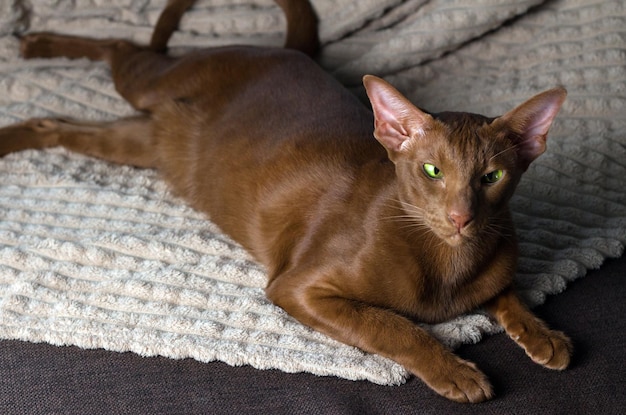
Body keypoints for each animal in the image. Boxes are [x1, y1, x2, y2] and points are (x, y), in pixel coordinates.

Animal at [0, 0, 568, 404]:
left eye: (491, 176)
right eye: (432, 171)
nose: (460, 217)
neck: (447, 262)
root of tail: (284, 51)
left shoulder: (492, 269)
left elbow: (509, 294)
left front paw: (543, 336)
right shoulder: (299, 288)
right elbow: (393, 326)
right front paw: (455, 371)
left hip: (143, 142)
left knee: (54, 124)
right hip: (148, 90)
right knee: (121, 47)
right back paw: (35, 47)